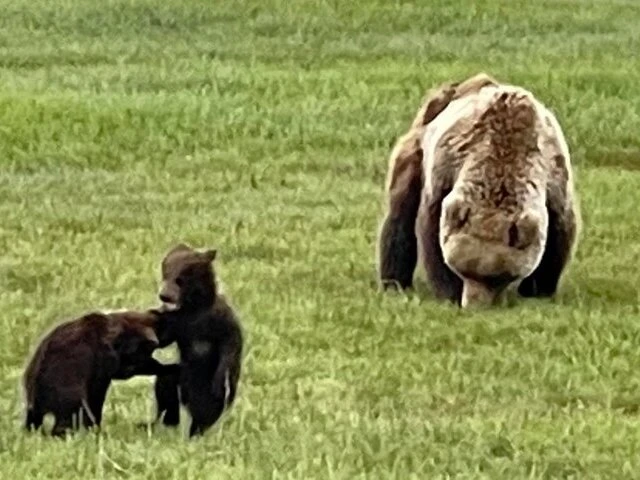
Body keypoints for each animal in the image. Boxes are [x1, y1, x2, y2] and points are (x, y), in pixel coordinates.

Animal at [140, 243, 243, 438]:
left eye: (180, 279)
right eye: (165, 273)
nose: (164, 295)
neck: (193, 310)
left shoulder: (221, 320)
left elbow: (229, 347)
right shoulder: (177, 324)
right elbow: (163, 338)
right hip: (181, 377)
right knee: (167, 385)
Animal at [376, 73, 580, 307]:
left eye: (499, 277)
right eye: (464, 270)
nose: (474, 304)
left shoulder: (554, 176)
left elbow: (559, 233)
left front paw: (538, 290)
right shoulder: (445, 169)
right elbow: (432, 232)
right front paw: (449, 291)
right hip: (415, 152)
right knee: (399, 216)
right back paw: (394, 283)